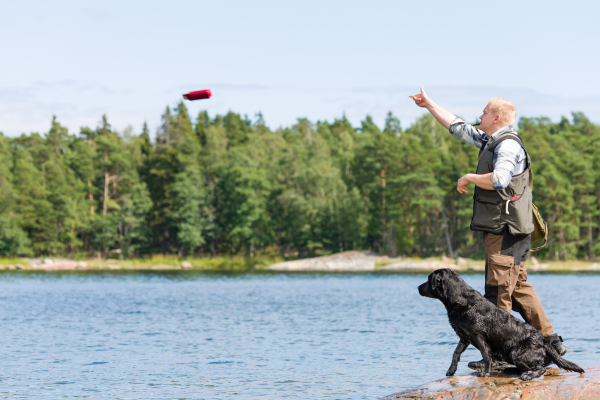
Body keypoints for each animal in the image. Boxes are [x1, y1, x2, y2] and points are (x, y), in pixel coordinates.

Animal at [420, 268, 584, 380]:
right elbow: (455, 353)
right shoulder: (464, 337)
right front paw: (451, 370)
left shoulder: (478, 336)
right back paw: (511, 370)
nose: (418, 287)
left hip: (516, 353)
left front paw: (486, 372)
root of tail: (543, 340)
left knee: (541, 368)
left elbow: (486, 356)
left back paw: (527, 375)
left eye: (428, 279)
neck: (461, 301)